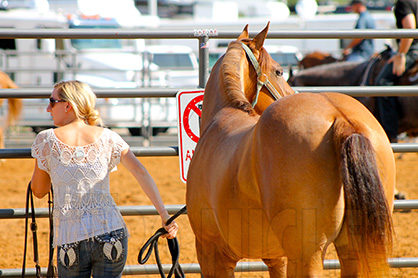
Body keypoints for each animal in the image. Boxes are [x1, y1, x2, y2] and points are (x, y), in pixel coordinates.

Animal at [186, 23, 396, 278]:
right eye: (279, 72)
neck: (222, 115)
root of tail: (340, 117)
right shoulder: (277, 258)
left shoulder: (212, 254)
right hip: (353, 248)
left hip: (307, 254)